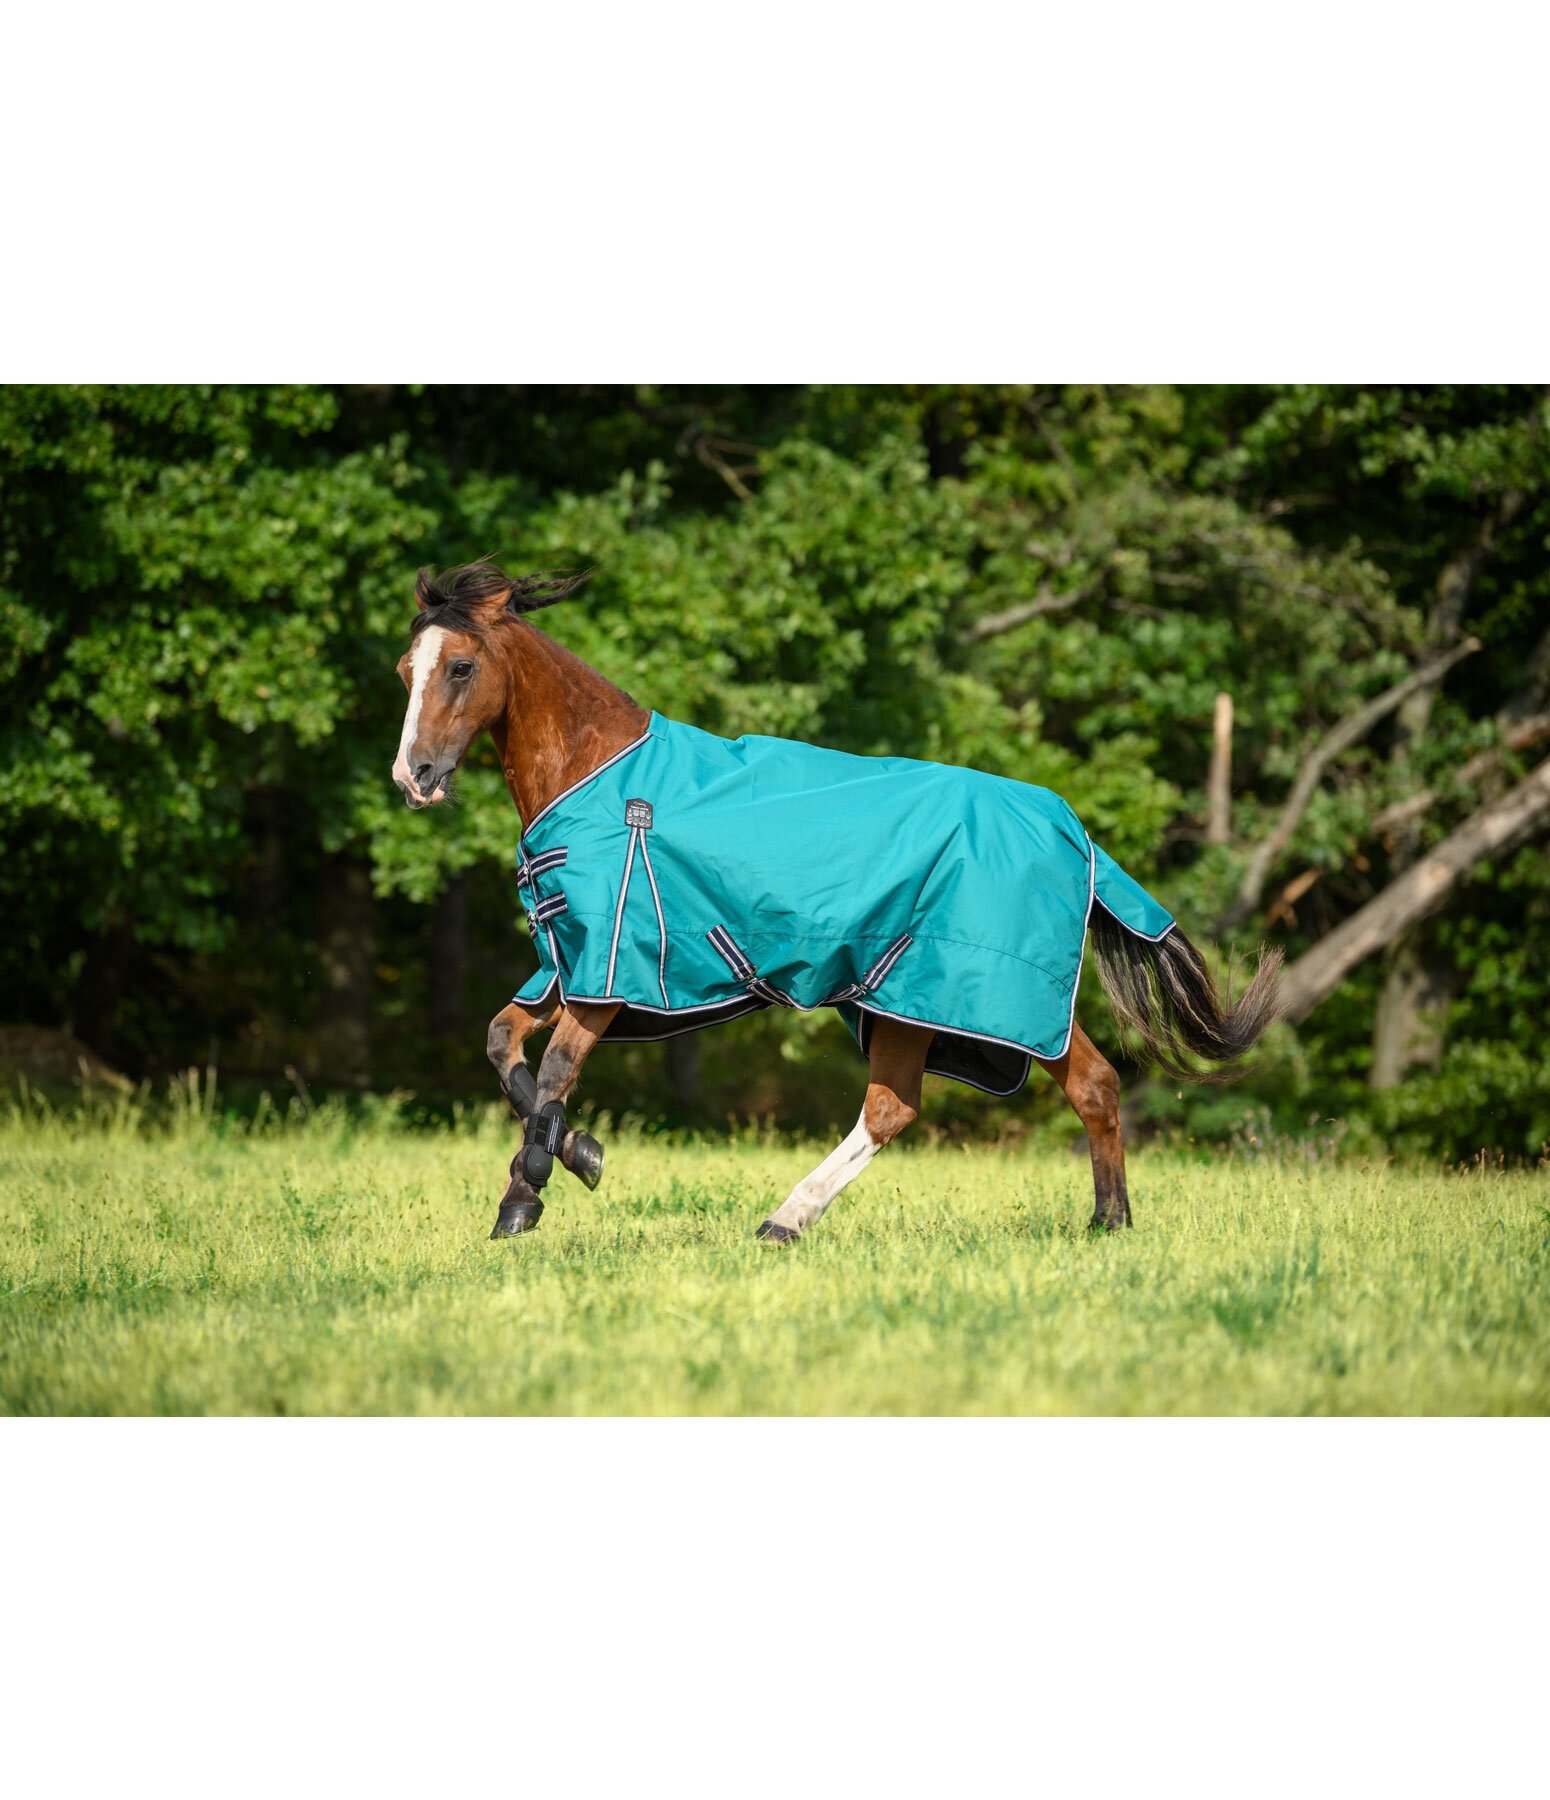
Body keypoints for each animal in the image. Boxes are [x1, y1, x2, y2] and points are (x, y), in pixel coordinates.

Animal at [392, 560, 1282, 1242]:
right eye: (408, 671)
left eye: (461, 667)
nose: (414, 777)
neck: (602, 778)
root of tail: (1071, 827)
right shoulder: (568, 965)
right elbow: (502, 1047)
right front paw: (574, 1159)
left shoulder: (614, 975)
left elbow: (551, 1075)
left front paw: (531, 1194)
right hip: (945, 1007)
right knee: (1065, 1087)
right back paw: (1107, 1223)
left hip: (958, 996)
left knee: (905, 1109)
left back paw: (784, 1218)